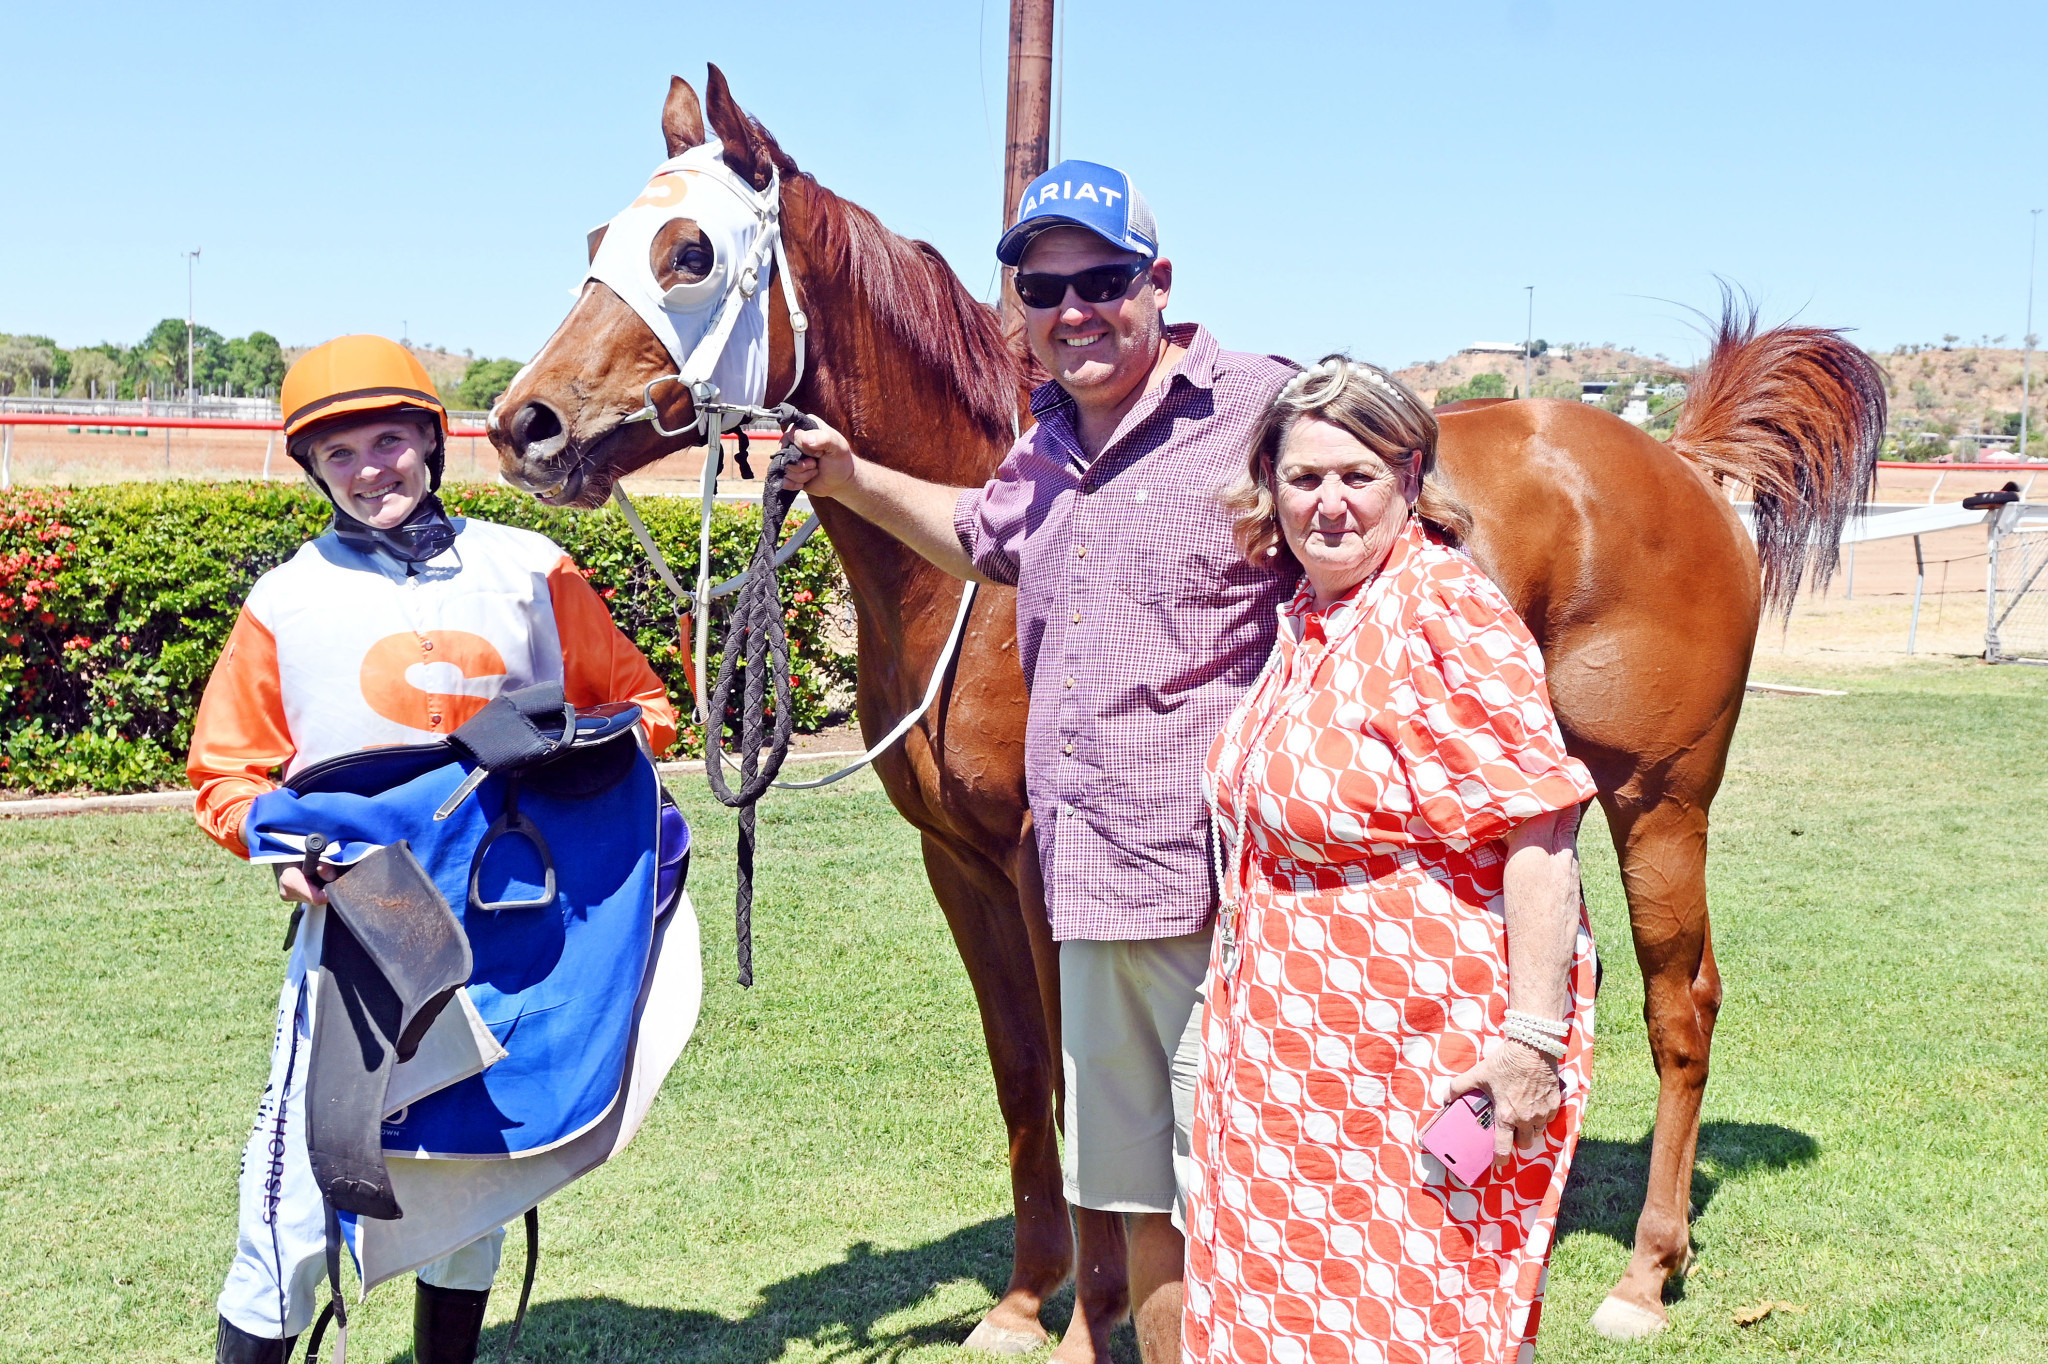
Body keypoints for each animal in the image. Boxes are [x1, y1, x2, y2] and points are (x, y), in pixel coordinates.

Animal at [491, 69, 1884, 1343]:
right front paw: (1021, 1301)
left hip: (1660, 799)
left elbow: (1081, 1090)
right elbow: (1022, 1079)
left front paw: (1087, 1316)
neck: (976, 580)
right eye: (594, 241)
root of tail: (1682, 464)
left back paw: (1643, 1274)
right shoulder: (961, 865)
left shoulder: (1050, 868)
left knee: (1677, 1004)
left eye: (688, 252)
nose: (526, 425)